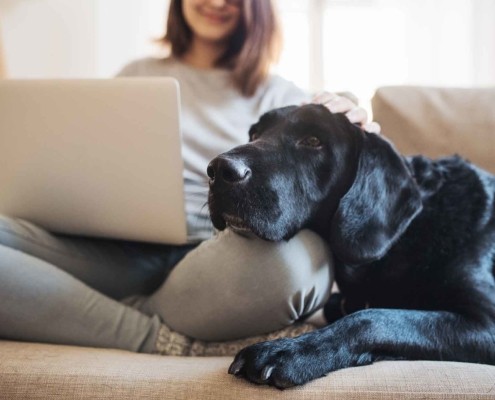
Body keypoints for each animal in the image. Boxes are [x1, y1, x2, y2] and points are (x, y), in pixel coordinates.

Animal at [206, 103, 495, 388]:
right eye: (254, 134)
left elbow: (372, 318)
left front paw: (288, 352)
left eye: (313, 141)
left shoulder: (485, 321)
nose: (218, 170)